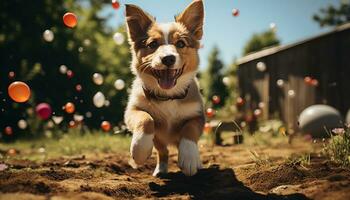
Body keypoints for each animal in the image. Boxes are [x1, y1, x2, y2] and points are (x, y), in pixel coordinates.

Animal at [123, 0, 204, 176]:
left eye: (180, 43)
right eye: (152, 44)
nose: (168, 58)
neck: (169, 96)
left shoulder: (198, 116)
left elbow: (190, 130)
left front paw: (189, 157)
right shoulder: (132, 110)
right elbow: (146, 118)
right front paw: (139, 148)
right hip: (158, 139)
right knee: (163, 151)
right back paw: (160, 169)